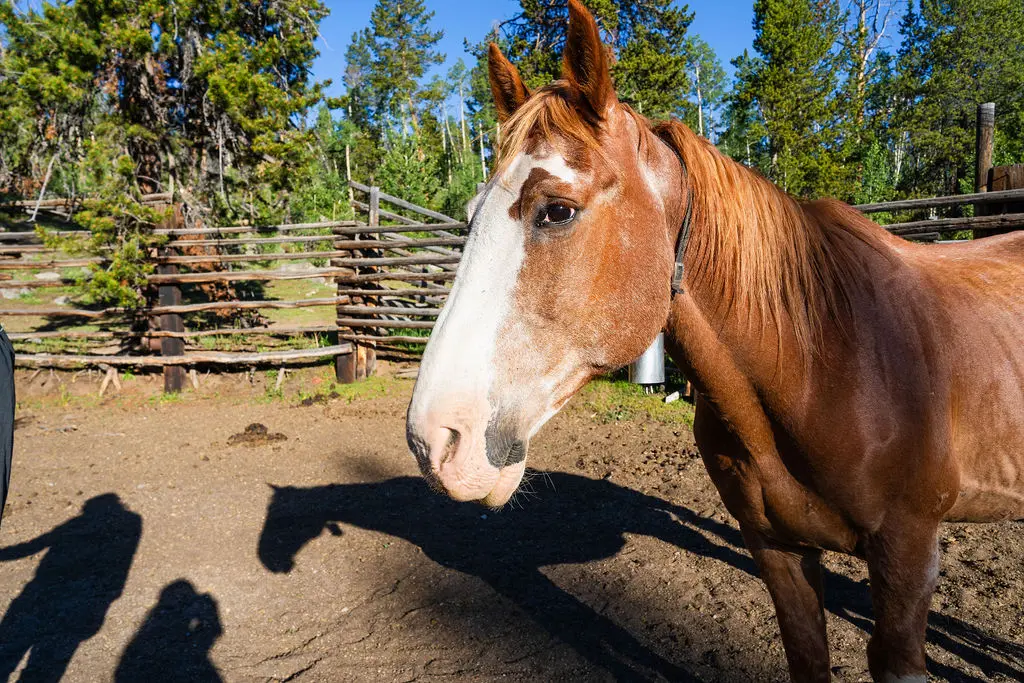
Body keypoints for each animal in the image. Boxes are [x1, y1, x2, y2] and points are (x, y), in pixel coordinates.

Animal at [405, 1, 1024, 680]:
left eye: (557, 210)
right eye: (470, 216)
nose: (434, 440)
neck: (823, 363)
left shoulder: (909, 559)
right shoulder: (777, 553)